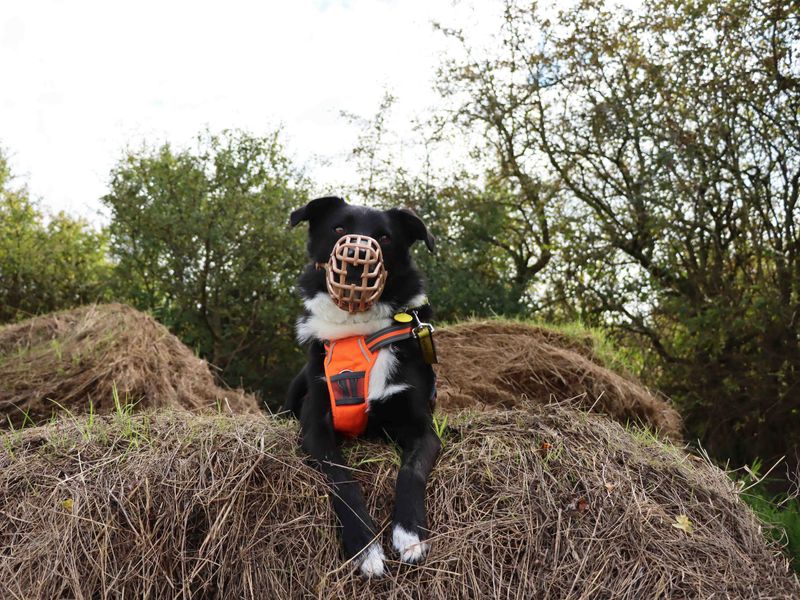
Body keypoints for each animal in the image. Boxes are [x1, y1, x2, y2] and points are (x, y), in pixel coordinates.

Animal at [282, 196, 444, 576]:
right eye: (339, 228)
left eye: (384, 237)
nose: (356, 257)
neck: (357, 331)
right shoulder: (315, 428)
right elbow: (343, 480)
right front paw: (365, 546)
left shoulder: (422, 428)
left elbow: (410, 472)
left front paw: (409, 533)